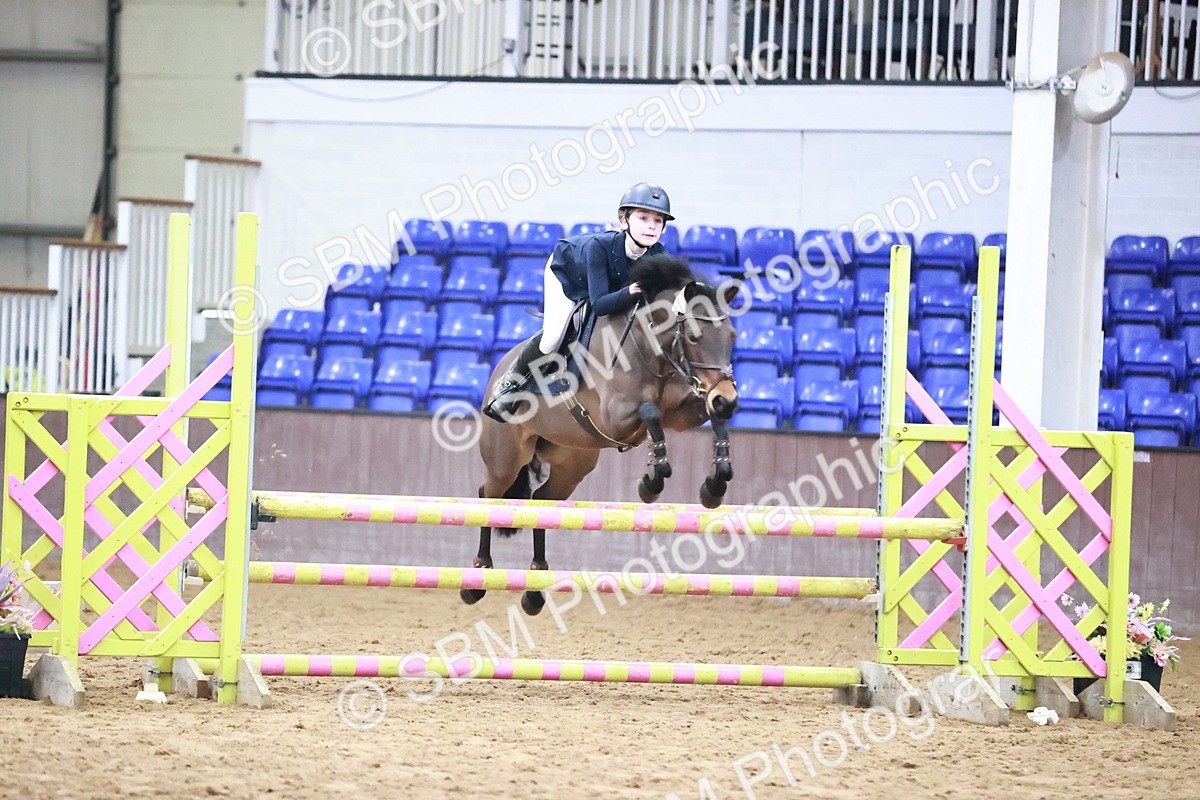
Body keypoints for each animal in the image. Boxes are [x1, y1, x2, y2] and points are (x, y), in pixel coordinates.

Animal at [463, 257, 740, 615]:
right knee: (488, 496)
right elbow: (650, 413)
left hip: (573, 464)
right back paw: (478, 577)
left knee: (541, 502)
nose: (728, 398)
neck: (650, 349)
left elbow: (709, 417)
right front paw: (652, 482)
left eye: (732, 336)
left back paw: (535, 589)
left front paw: (714, 486)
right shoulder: (615, 417)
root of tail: (498, 369)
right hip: (506, 460)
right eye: (694, 337)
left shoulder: (682, 413)